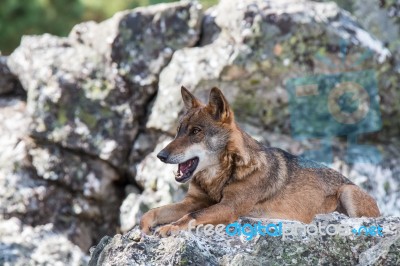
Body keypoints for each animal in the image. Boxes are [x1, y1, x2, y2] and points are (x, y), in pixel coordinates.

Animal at [141, 85, 382, 237]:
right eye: (178, 131)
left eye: (196, 131)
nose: (160, 155)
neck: (221, 176)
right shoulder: (193, 201)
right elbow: (154, 211)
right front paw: (144, 229)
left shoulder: (228, 207)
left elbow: (190, 216)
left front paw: (168, 228)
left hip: (348, 192)